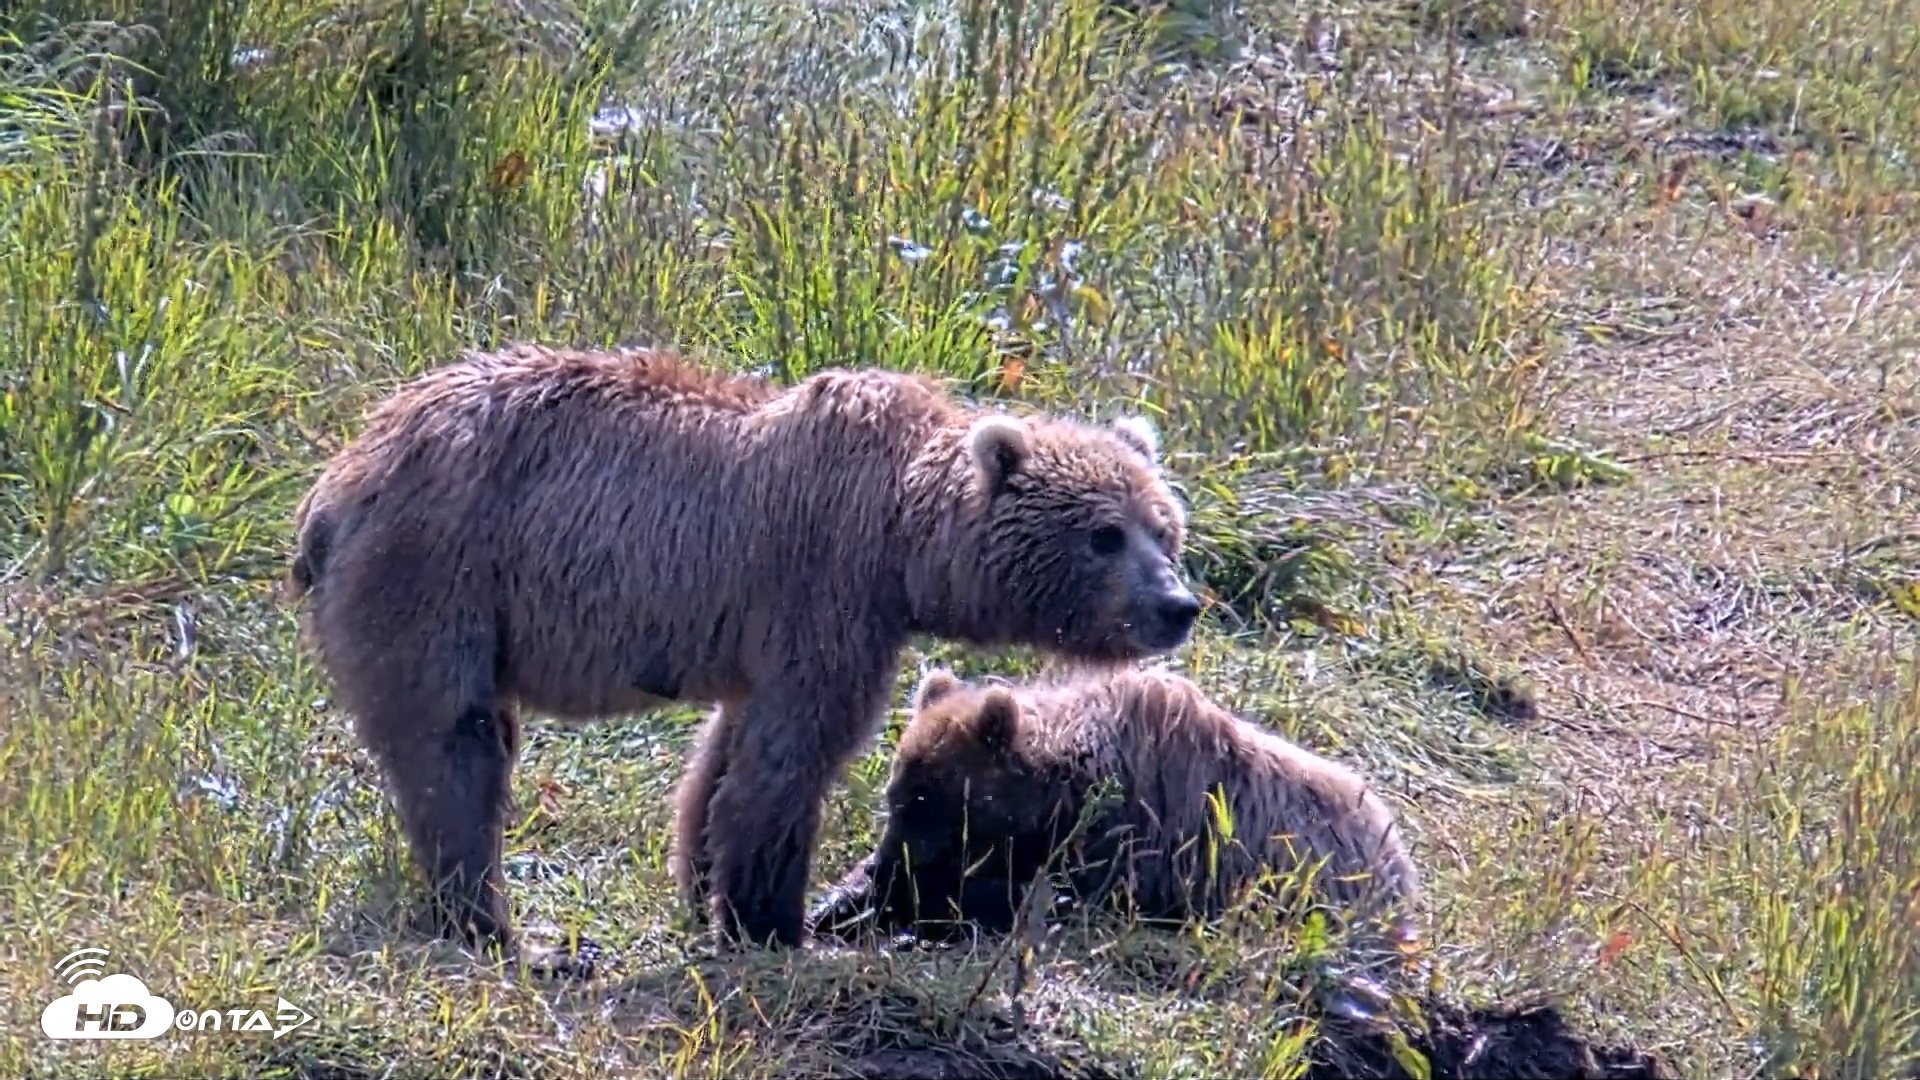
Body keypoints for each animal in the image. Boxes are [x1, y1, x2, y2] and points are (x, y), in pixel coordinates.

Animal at [283, 343, 1201, 960]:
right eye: (1104, 534)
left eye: (1165, 530)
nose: (1178, 606)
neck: (903, 538)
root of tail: (334, 484)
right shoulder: (822, 588)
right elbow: (791, 759)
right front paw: (772, 922)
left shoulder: (766, 634)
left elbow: (724, 759)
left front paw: (702, 887)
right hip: (440, 572)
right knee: (457, 746)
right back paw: (494, 924)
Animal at [808, 666, 1422, 965]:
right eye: (896, 794)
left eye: (922, 801)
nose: (885, 864)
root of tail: (1403, 863)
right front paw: (837, 903)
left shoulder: (1142, 837)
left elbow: (1032, 897)